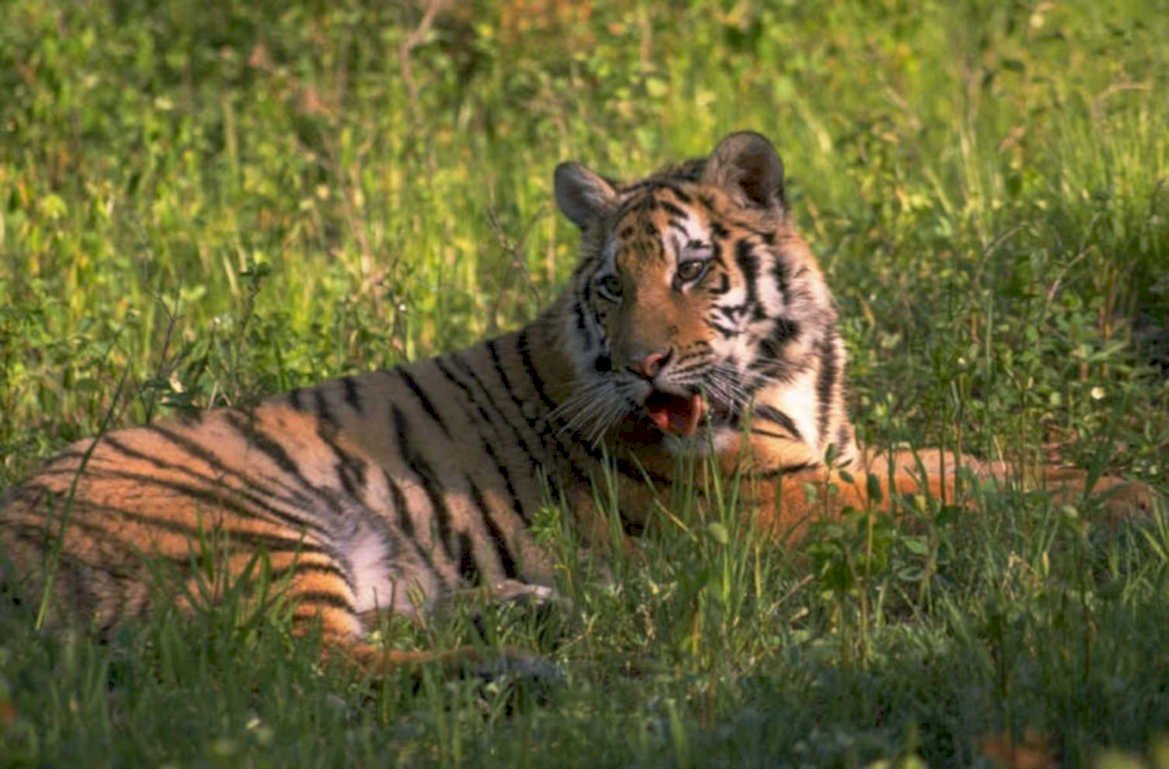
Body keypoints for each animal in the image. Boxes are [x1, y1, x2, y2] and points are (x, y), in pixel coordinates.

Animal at [0, 132, 1153, 671]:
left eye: (690, 270)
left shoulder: (838, 462)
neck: (791, 371)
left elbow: (973, 466)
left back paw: (536, 613)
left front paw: (1119, 482)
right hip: (245, 524)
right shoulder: (785, 505)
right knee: (304, 668)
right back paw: (520, 669)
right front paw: (1130, 505)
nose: (644, 366)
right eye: (609, 285)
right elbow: (963, 499)